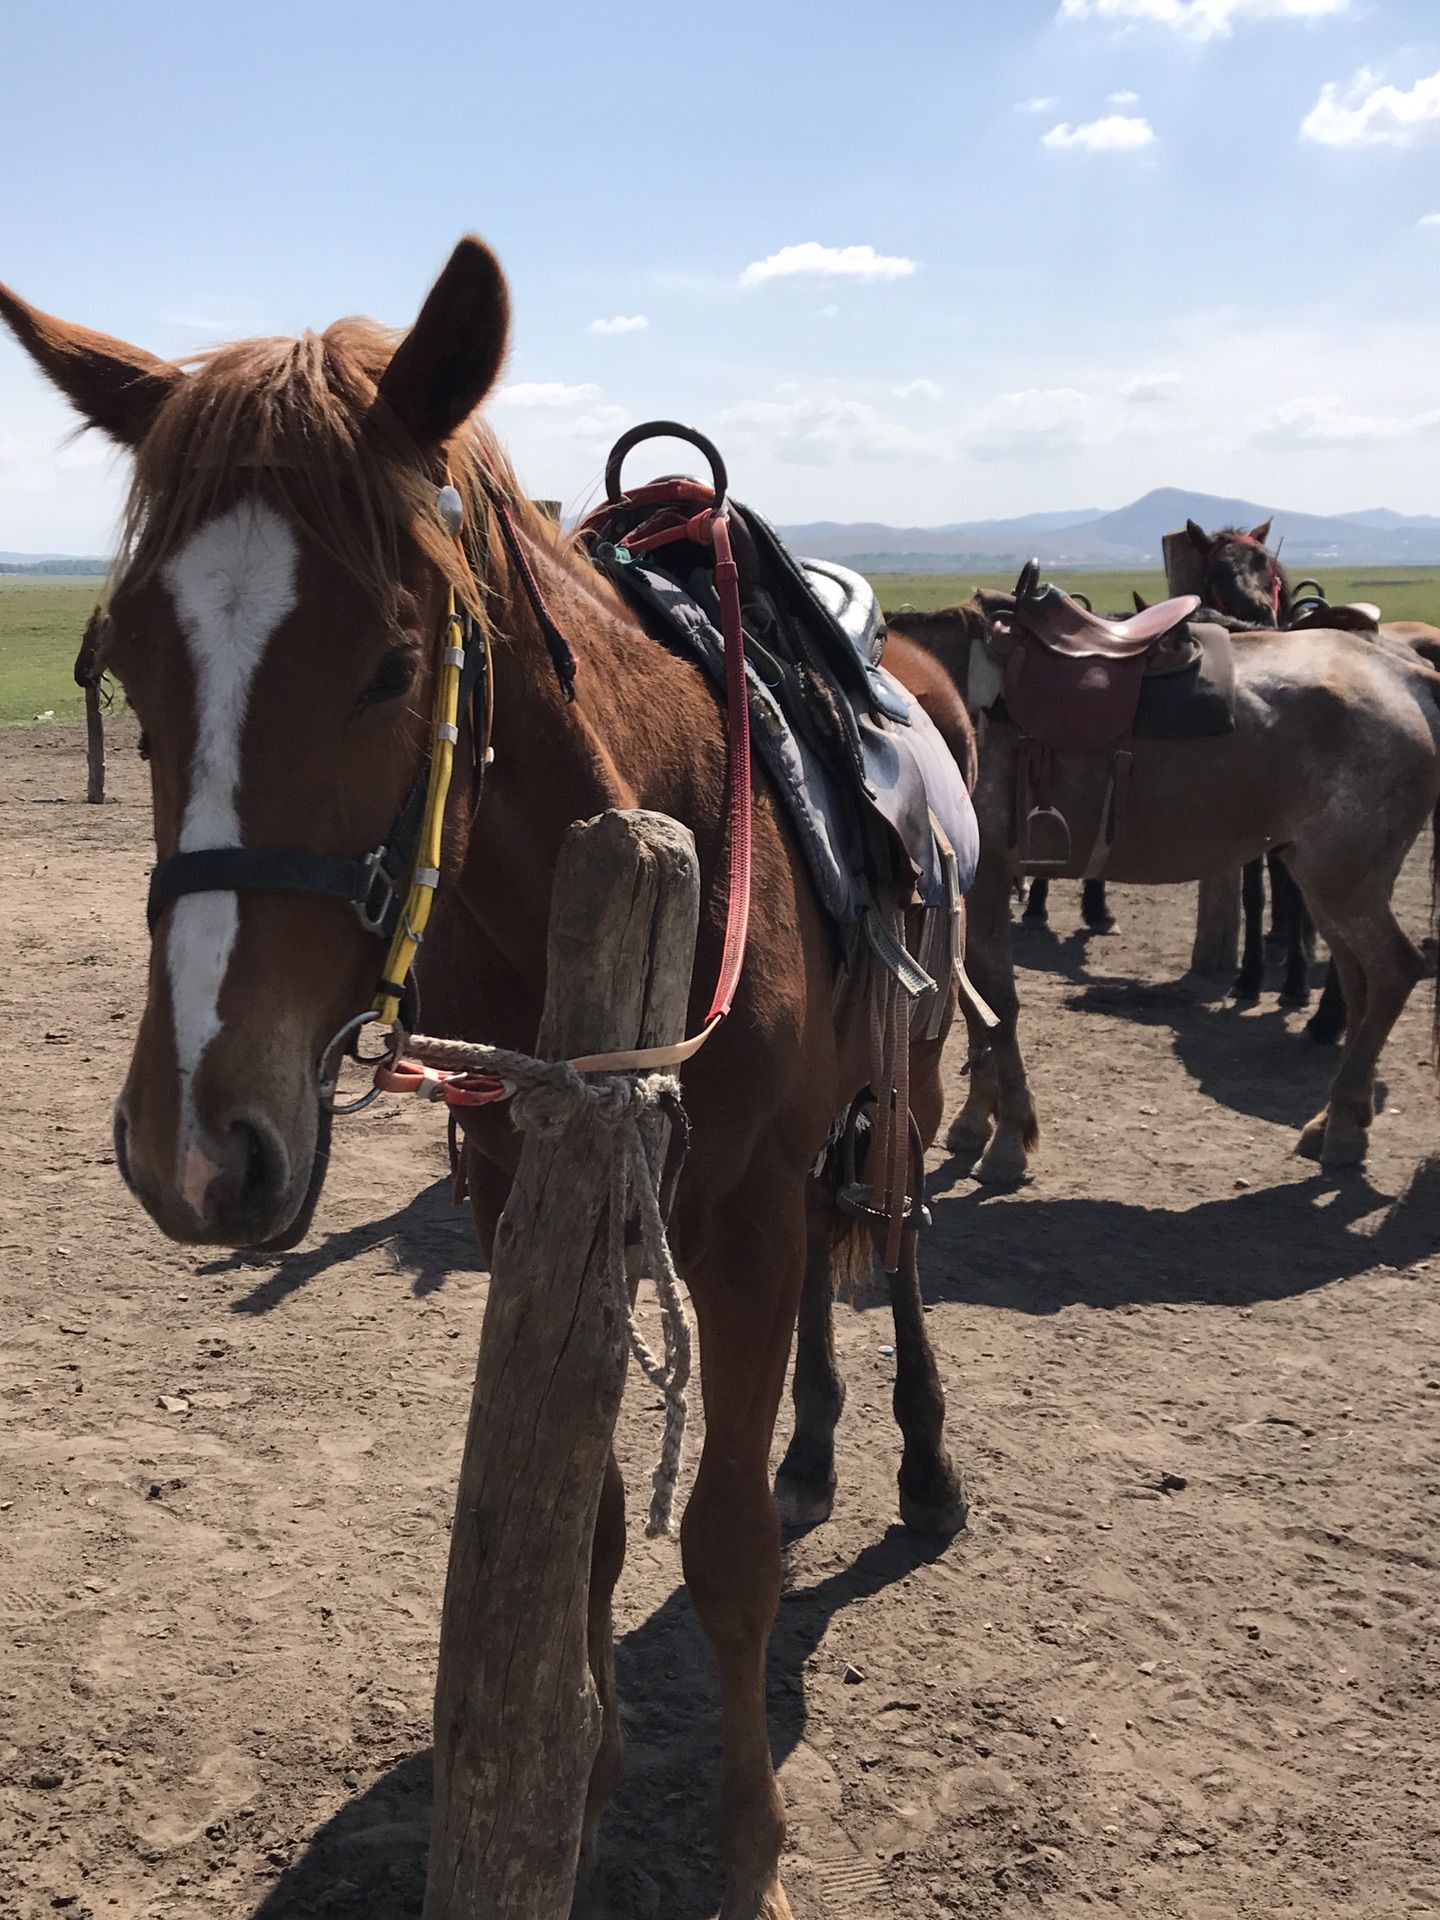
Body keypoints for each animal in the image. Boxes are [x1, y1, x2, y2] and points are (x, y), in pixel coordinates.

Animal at [0, 240, 983, 1920]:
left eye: (396, 663)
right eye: (125, 660)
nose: (194, 1145)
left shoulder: (736, 1222)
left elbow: (722, 1552)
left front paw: (752, 1852)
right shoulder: (520, 1188)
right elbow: (586, 1522)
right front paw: (580, 1780)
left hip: (902, 1089)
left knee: (900, 1246)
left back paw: (915, 1462)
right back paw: (816, 1440)